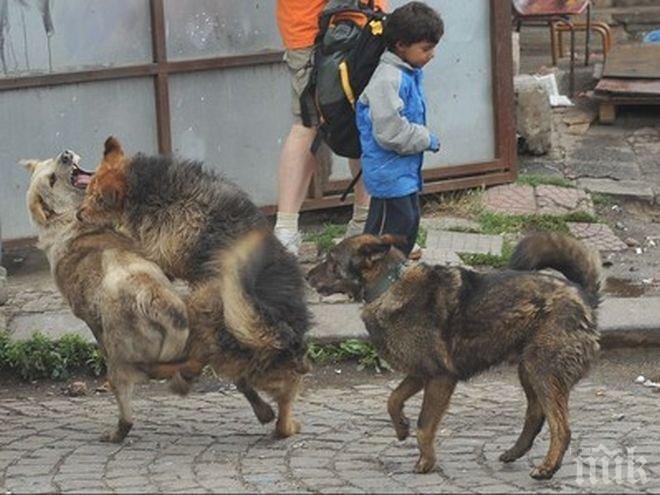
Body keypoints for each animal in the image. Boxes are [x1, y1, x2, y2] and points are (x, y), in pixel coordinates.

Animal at [24, 150, 189, 442]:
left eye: (54, 160)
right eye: (52, 179)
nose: (66, 154)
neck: (67, 220)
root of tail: (154, 297)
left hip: (119, 362)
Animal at [306, 233, 600, 480]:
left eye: (331, 260)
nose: (306, 276)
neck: (389, 284)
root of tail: (584, 294)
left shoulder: (440, 377)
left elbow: (424, 426)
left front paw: (426, 463)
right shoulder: (420, 373)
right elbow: (392, 400)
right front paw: (401, 427)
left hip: (543, 372)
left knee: (561, 428)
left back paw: (548, 467)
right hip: (529, 371)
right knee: (535, 416)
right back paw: (515, 452)